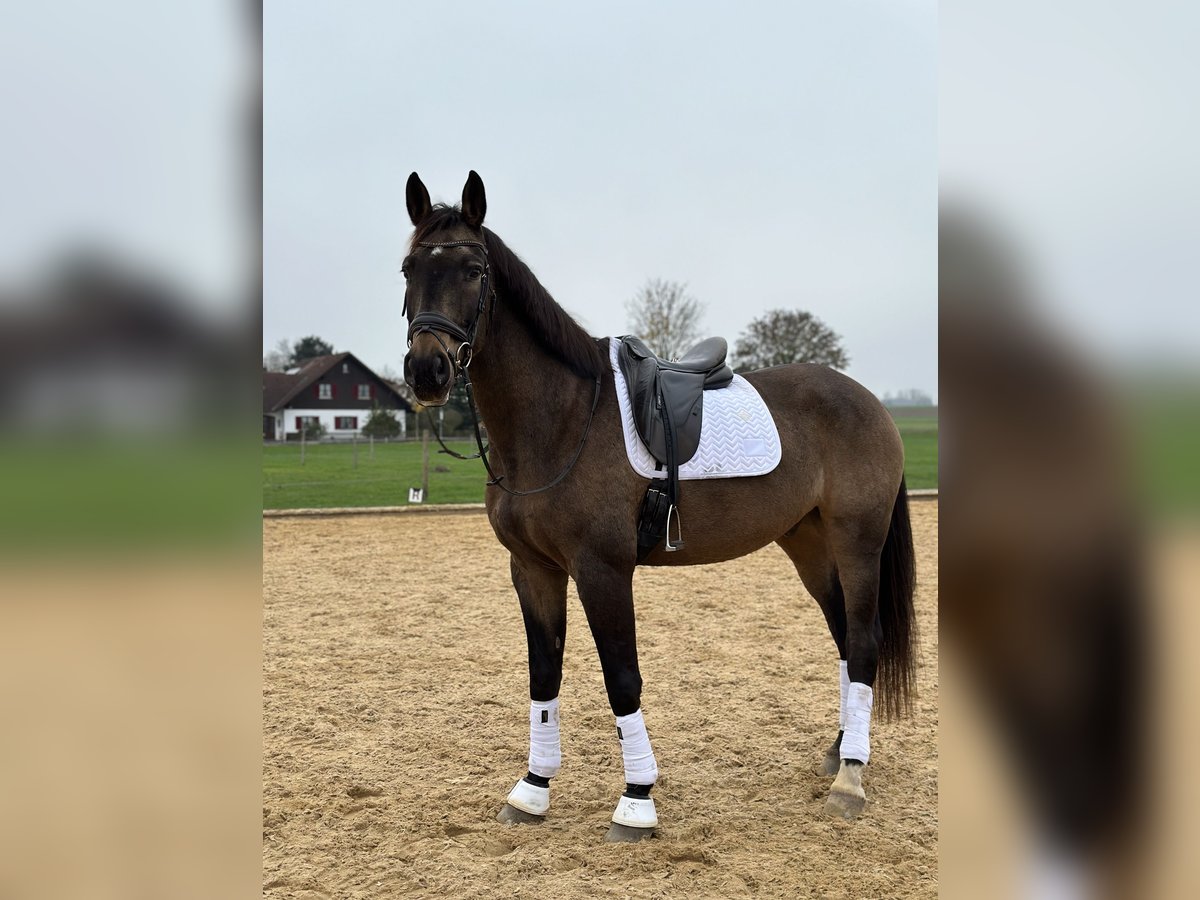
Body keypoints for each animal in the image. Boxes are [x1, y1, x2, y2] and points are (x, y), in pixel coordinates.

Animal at [398, 172, 912, 844]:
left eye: (472, 270)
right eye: (408, 268)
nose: (426, 370)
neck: (560, 421)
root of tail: (869, 401)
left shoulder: (602, 569)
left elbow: (622, 678)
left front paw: (637, 800)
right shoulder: (532, 570)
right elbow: (544, 674)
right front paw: (532, 791)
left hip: (857, 543)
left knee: (866, 641)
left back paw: (850, 777)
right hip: (809, 543)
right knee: (848, 639)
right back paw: (841, 751)